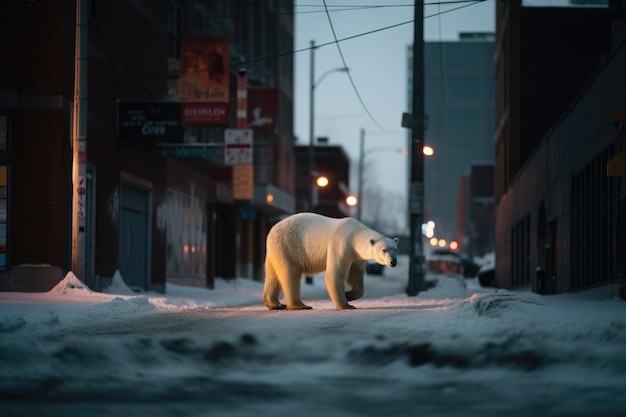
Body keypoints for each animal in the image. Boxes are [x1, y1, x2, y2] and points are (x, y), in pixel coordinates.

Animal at [260, 213, 398, 310]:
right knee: (290, 274)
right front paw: (346, 305)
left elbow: (355, 275)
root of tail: (271, 230)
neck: (355, 234)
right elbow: (335, 273)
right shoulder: (342, 245)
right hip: (288, 245)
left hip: (276, 249)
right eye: (384, 250)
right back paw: (300, 305)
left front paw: (349, 295)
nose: (393, 262)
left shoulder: (357, 257)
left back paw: (275, 304)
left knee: (273, 275)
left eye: (396, 249)